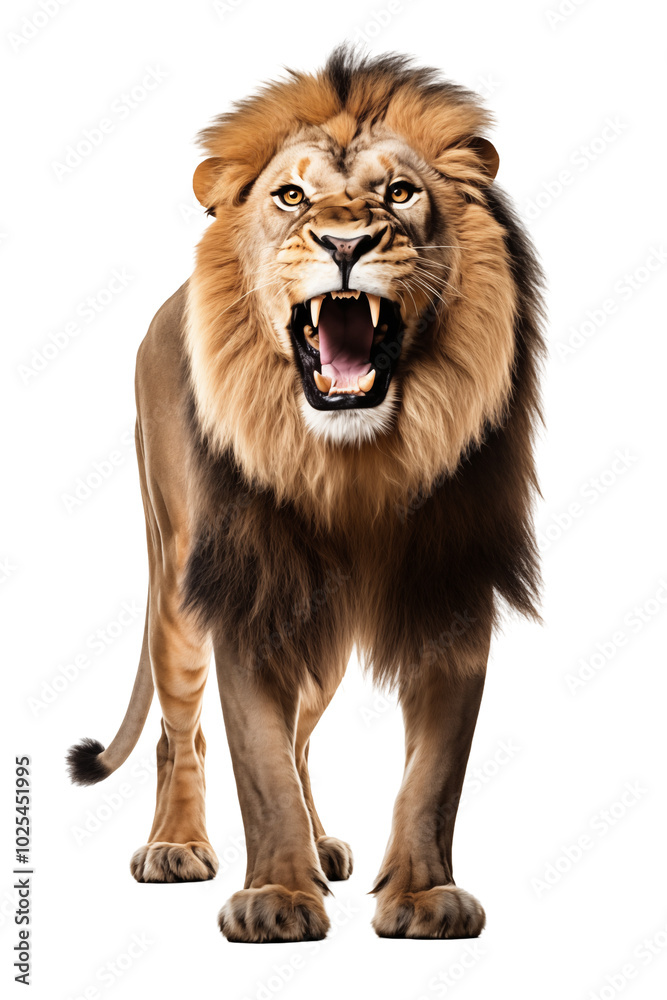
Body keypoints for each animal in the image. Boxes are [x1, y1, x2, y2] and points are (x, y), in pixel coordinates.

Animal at [67, 48, 544, 943]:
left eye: (401, 192)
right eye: (290, 196)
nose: (345, 241)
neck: (355, 467)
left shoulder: (453, 591)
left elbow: (432, 776)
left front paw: (423, 895)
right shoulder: (246, 592)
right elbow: (257, 764)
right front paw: (276, 897)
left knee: (301, 742)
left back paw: (322, 845)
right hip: (177, 589)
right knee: (179, 736)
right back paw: (174, 846)